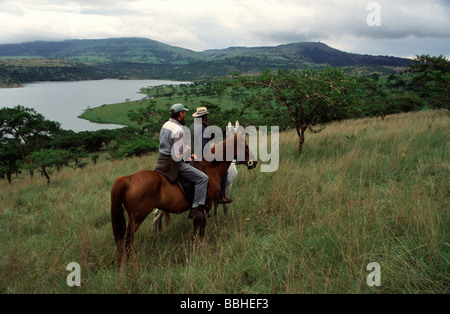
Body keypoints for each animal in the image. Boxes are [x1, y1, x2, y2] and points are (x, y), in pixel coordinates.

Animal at [110, 132, 256, 260]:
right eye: (245, 146)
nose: (254, 162)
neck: (210, 168)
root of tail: (128, 179)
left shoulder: (200, 207)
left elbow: (196, 224)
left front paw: (193, 242)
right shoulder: (207, 204)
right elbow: (202, 224)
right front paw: (200, 243)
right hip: (137, 218)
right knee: (128, 238)